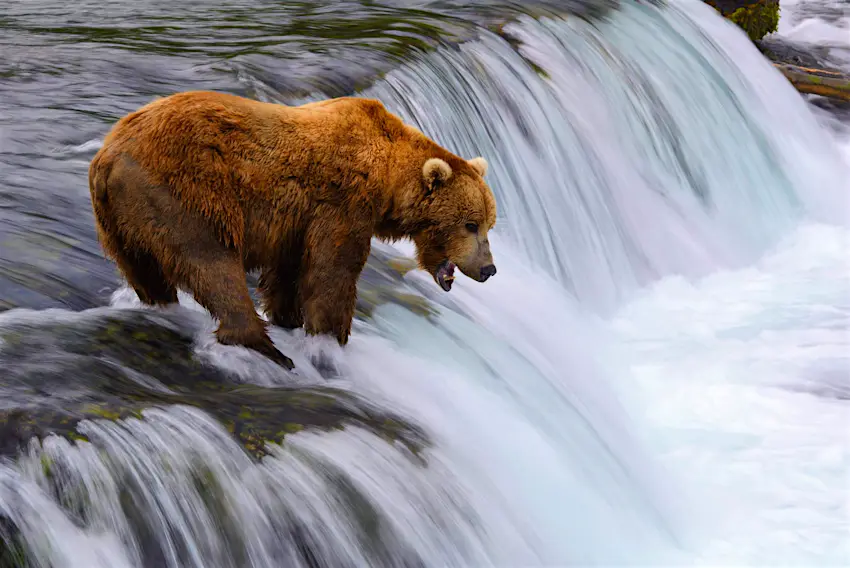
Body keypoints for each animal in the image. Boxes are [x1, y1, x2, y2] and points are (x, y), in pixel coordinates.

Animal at [88, 90, 498, 369]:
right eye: (470, 224)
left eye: (489, 223)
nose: (489, 268)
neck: (388, 179)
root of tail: (108, 155)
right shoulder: (342, 204)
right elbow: (333, 272)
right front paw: (332, 338)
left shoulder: (296, 223)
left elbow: (289, 273)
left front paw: (289, 318)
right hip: (185, 194)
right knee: (211, 263)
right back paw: (266, 349)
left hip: (119, 221)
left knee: (145, 271)